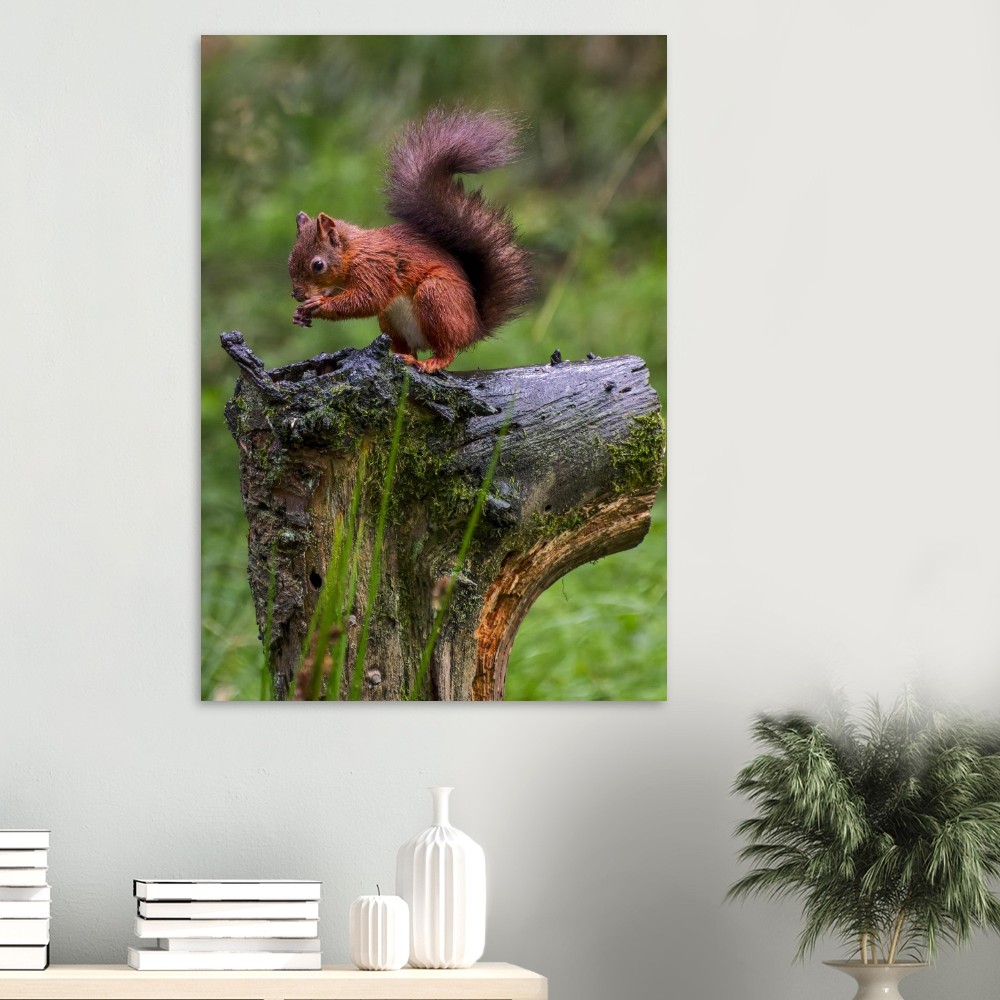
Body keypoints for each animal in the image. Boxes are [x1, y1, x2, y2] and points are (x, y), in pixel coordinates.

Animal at [288, 108, 534, 373]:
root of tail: (473, 328)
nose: (298, 295)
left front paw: (319, 304)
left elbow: (367, 299)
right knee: (406, 346)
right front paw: (300, 314)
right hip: (390, 320)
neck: (353, 253)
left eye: (318, 265)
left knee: (448, 349)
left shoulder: (376, 269)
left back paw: (431, 361)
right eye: (289, 260)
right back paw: (402, 355)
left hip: (437, 298)